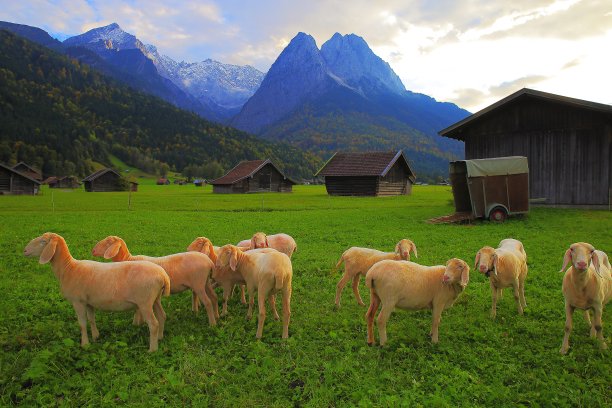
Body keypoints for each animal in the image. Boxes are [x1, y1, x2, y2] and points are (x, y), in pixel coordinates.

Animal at [23, 234, 170, 352]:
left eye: (43, 241)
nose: (25, 250)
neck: (68, 268)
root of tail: (163, 275)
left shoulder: (78, 301)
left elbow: (82, 324)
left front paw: (85, 344)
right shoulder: (88, 302)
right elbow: (91, 319)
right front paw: (95, 336)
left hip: (145, 302)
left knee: (153, 324)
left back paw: (152, 349)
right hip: (155, 299)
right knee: (162, 316)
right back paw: (160, 338)